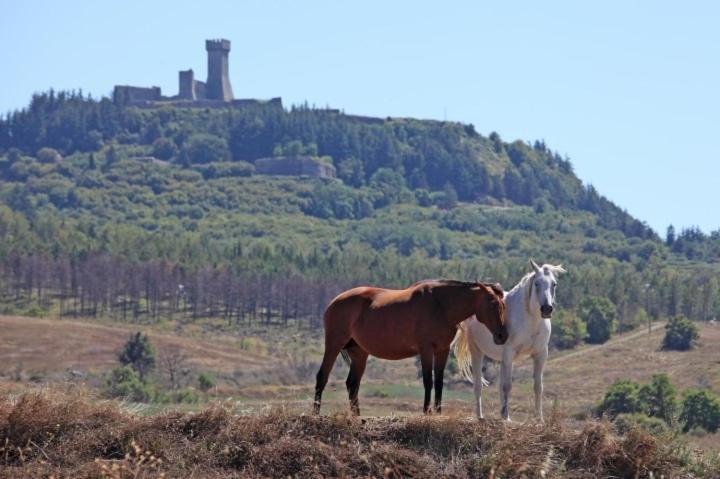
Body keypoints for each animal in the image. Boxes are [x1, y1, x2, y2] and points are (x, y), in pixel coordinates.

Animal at [314, 282, 506, 416]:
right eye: (492, 303)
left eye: (503, 305)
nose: (502, 335)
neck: (440, 305)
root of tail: (334, 302)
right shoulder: (426, 350)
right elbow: (428, 381)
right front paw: (426, 412)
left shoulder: (442, 350)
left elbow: (439, 382)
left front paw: (438, 412)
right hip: (333, 345)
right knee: (322, 377)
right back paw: (316, 413)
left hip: (359, 353)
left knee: (352, 384)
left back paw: (357, 416)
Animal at [452, 260, 564, 422]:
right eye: (537, 283)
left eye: (554, 284)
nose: (546, 309)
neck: (530, 320)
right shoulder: (509, 354)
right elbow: (507, 386)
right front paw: (506, 417)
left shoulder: (541, 354)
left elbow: (538, 386)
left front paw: (539, 419)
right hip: (477, 352)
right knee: (478, 385)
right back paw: (480, 416)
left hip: (501, 360)